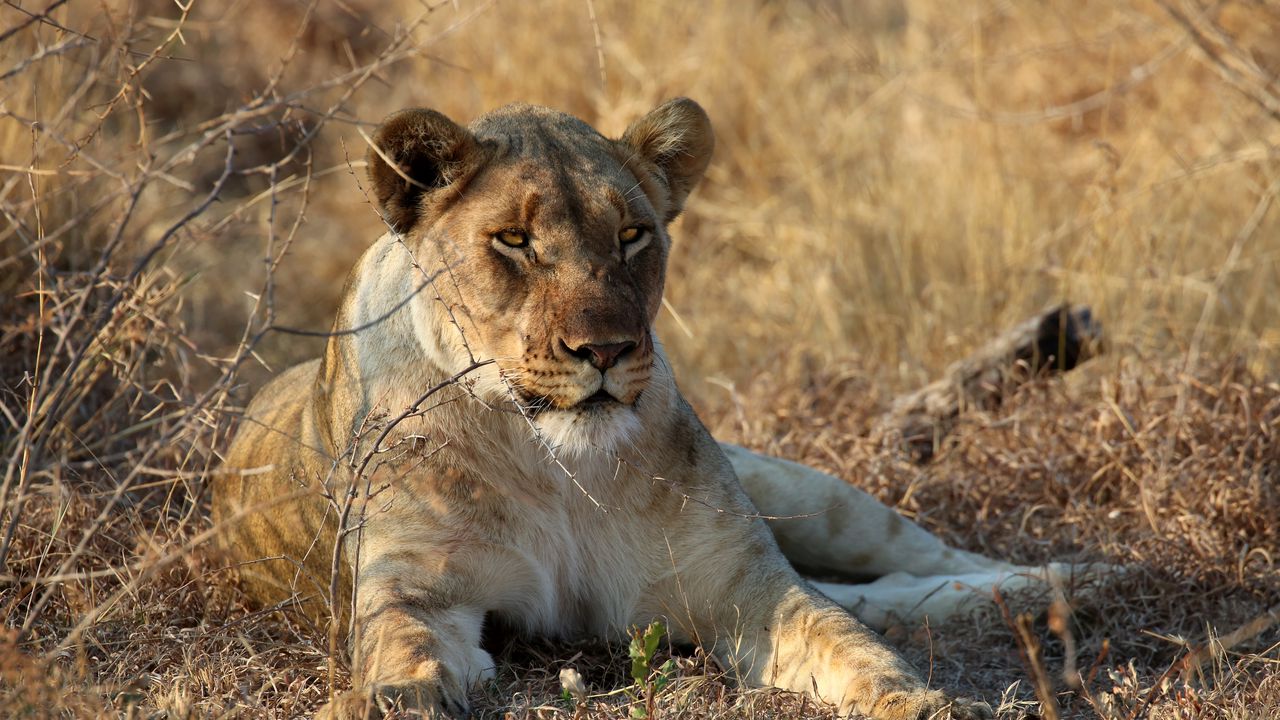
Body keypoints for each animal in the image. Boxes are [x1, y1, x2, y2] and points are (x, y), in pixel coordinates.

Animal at [216, 99, 1069, 719]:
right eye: (514, 241)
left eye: (632, 234)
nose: (605, 349)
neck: (556, 464)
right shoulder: (417, 586)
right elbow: (403, 650)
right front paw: (398, 699)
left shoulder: (743, 583)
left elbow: (850, 644)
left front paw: (921, 701)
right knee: (879, 595)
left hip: (809, 494)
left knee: (921, 566)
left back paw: (1061, 580)